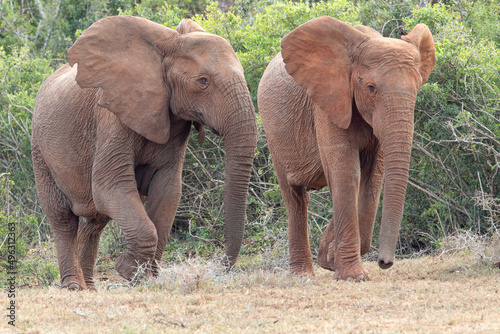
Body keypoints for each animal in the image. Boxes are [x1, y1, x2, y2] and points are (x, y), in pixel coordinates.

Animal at [31, 17, 258, 290]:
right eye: (203, 81)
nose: (220, 267)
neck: (167, 45)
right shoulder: (112, 116)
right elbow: (110, 185)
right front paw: (129, 271)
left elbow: (167, 191)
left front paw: (146, 277)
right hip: (40, 149)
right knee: (63, 218)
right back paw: (75, 287)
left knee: (94, 221)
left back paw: (91, 289)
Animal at [258, 17, 434, 280]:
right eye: (371, 88)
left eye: (416, 90)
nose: (385, 262)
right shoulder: (329, 101)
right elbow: (346, 173)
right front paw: (353, 276)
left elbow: (372, 179)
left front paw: (330, 259)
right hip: (272, 131)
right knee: (295, 197)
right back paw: (302, 275)